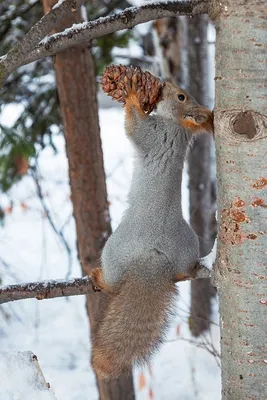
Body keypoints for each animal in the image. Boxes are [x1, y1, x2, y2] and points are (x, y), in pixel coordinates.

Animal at [90, 77, 214, 378]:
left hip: (113, 250)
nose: (165, 82)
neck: (177, 126)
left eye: (181, 96)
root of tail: (154, 257)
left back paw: (100, 277)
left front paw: (134, 95)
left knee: (112, 281)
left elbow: (134, 126)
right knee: (184, 269)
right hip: (188, 248)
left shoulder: (154, 133)